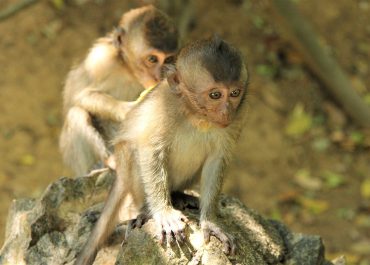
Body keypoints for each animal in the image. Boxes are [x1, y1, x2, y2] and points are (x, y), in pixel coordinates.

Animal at [59, 5, 178, 174]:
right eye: (152, 59)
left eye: (168, 59)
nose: (158, 75)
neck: (128, 70)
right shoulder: (100, 60)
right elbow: (81, 95)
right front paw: (128, 110)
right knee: (76, 113)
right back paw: (109, 161)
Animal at [74, 36, 249, 264]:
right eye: (215, 95)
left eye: (235, 93)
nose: (226, 111)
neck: (196, 116)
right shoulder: (163, 107)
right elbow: (150, 148)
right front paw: (164, 213)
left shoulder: (237, 117)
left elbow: (217, 159)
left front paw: (210, 222)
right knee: (134, 150)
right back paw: (147, 210)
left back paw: (179, 195)